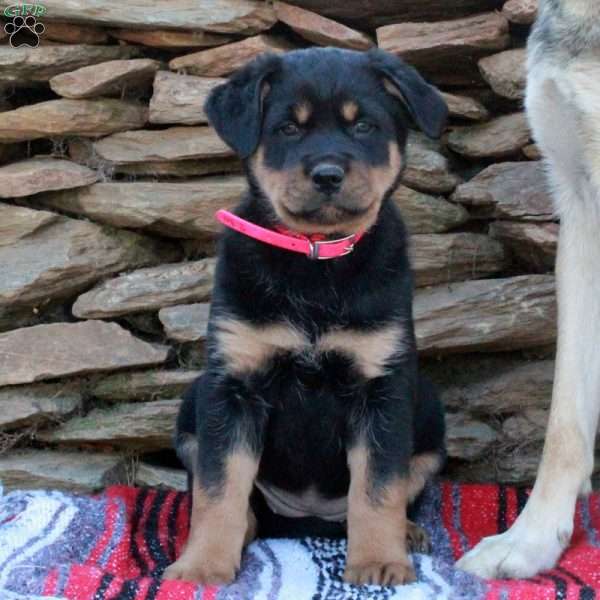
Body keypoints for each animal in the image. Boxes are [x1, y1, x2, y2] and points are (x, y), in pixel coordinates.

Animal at [164, 47, 446, 584]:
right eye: (288, 129)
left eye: (364, 126)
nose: (328, 174)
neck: (316, 261)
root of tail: (305, 519)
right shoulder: (233, 388)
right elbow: (218, 488)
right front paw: (202, 565)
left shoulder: (382, 388)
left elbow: (379, 486)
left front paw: (378, 560)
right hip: (194, 399)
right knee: (244, 504)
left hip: (430, 413)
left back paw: (408, 534)